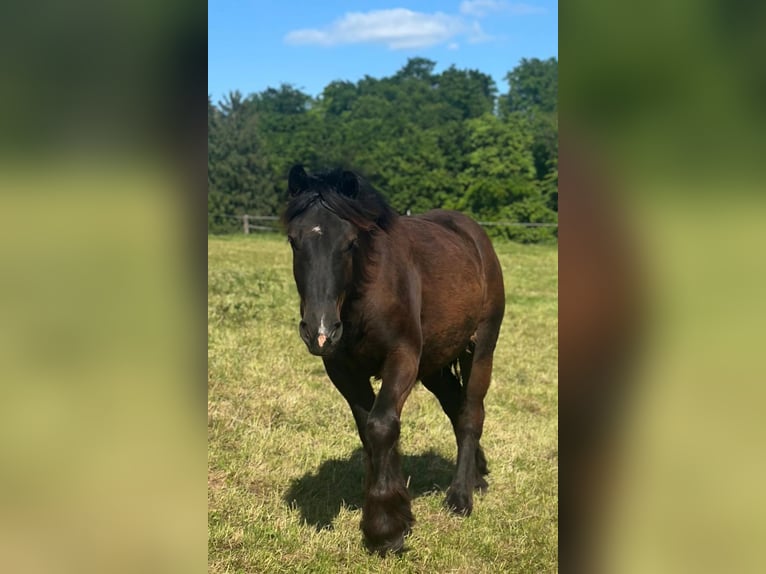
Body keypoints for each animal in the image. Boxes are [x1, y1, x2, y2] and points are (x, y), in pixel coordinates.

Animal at [283, 165, 505, 555]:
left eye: (350, 242)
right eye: (295, 240)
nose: (320, 332)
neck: (362, 298)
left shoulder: (402, 358)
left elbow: (382, 425)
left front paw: (386, 530)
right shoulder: (342, 370)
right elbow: (368, 429)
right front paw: (395, 510)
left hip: (481, 348)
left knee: (471, 413)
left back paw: (460, 497)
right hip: (435, 365)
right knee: (456, 406)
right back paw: (477, 476)